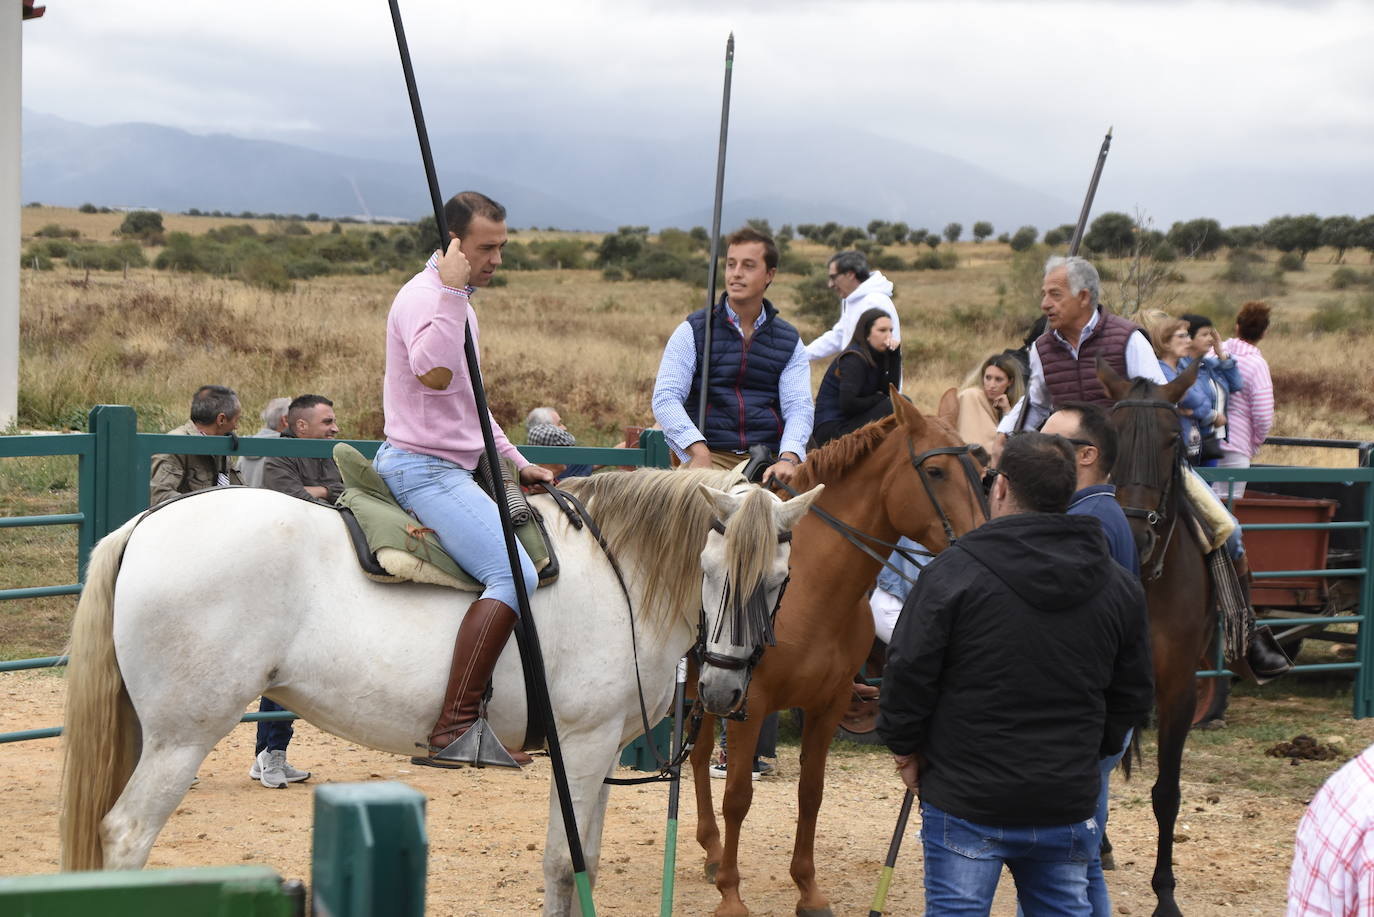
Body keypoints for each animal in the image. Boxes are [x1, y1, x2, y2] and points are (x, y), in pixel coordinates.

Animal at [59, 470, 818, 912]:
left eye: (779, 581)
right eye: (712, 570)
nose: (721, 689)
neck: (619, 573)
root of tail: (148, 523)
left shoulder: (598, 757)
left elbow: (586, 864)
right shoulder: (581, 748)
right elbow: (563, 863)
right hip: (181, 738)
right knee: (127, 836)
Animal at [692, 393, 983, 917]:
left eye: (984, 472)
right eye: (935, 472)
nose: (982, 538)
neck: (811, 590)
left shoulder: (829, 705)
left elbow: (812, 794)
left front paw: (808, 890)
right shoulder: (749, 703)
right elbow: (738, 797)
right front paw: (732, 895)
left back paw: (712, 850)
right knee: (701, 757)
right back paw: (714, 853)